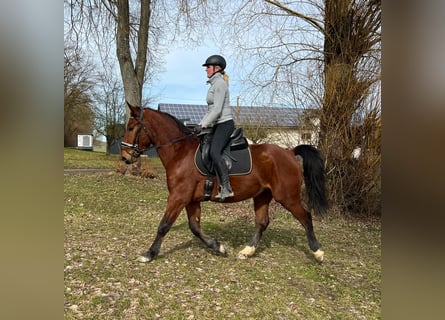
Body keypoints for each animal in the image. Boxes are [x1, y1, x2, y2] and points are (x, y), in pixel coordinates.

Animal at [119, 102, 328, 262]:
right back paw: (247, 251)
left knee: (305, 217)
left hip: (287, 197)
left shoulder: (178, 197)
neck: (180, 152)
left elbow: (164, 225)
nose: (125, 157)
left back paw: (317, 251)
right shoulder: (191, 200)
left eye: (131, 128)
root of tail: (290, 152)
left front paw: (149, 254)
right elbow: (195, 227)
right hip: (262, 195)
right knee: (262, 222)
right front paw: (218, 246)